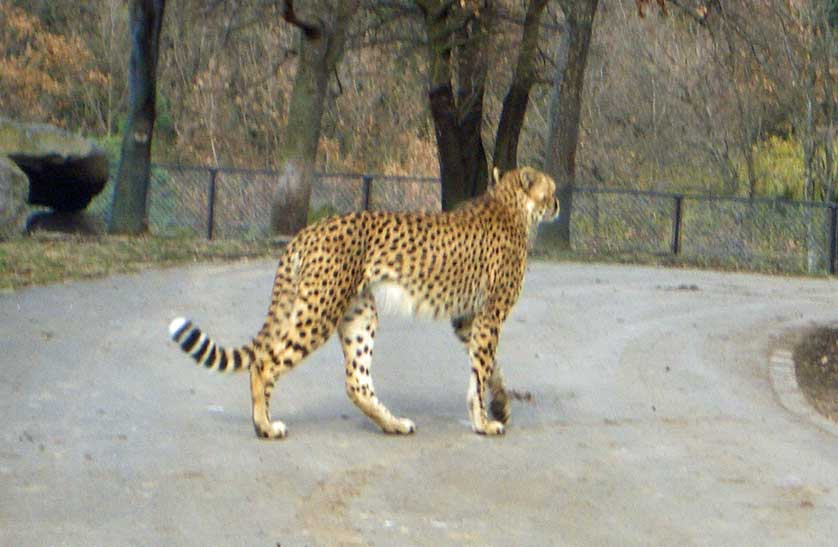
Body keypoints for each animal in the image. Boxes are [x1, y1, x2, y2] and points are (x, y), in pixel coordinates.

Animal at [168, 166, 559, 439]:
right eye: (551, 190)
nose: (557, 203)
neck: (509, 203)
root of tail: (306, 231)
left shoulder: (467, 318)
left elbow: (491, 367)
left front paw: (501, 406)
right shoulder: (490, 314)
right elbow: (481, 370)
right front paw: (483, 423)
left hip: (358, 314)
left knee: (355, 382)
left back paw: (393, 424)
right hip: (319, 312)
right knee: (264, 362)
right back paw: (264, 426)